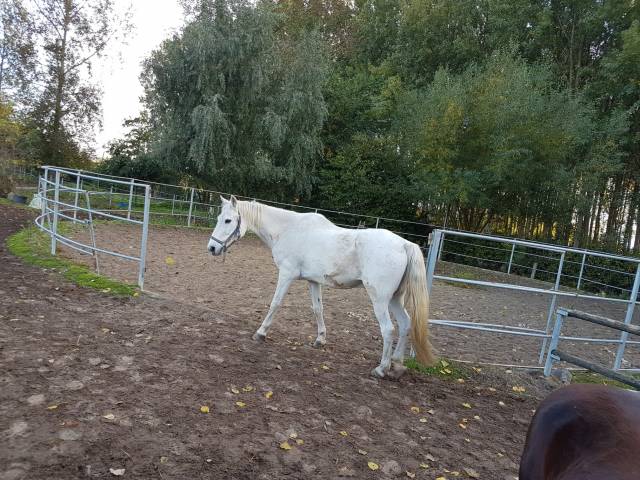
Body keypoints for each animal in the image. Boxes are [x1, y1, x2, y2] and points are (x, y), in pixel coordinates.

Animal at [206, 196, 436, 378]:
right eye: (218, 219)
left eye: (228, 220)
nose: (212, 248)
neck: (288, 229)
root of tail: (404, 245)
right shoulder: (313, 281)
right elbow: (318, 309)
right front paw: (320, 339)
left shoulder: (286, 274)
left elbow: (275, 303)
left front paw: (260, 333)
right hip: (395, 298)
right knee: (405, 324)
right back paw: (397, 364)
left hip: (380, 299)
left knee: (388, 329)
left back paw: (381, 369)